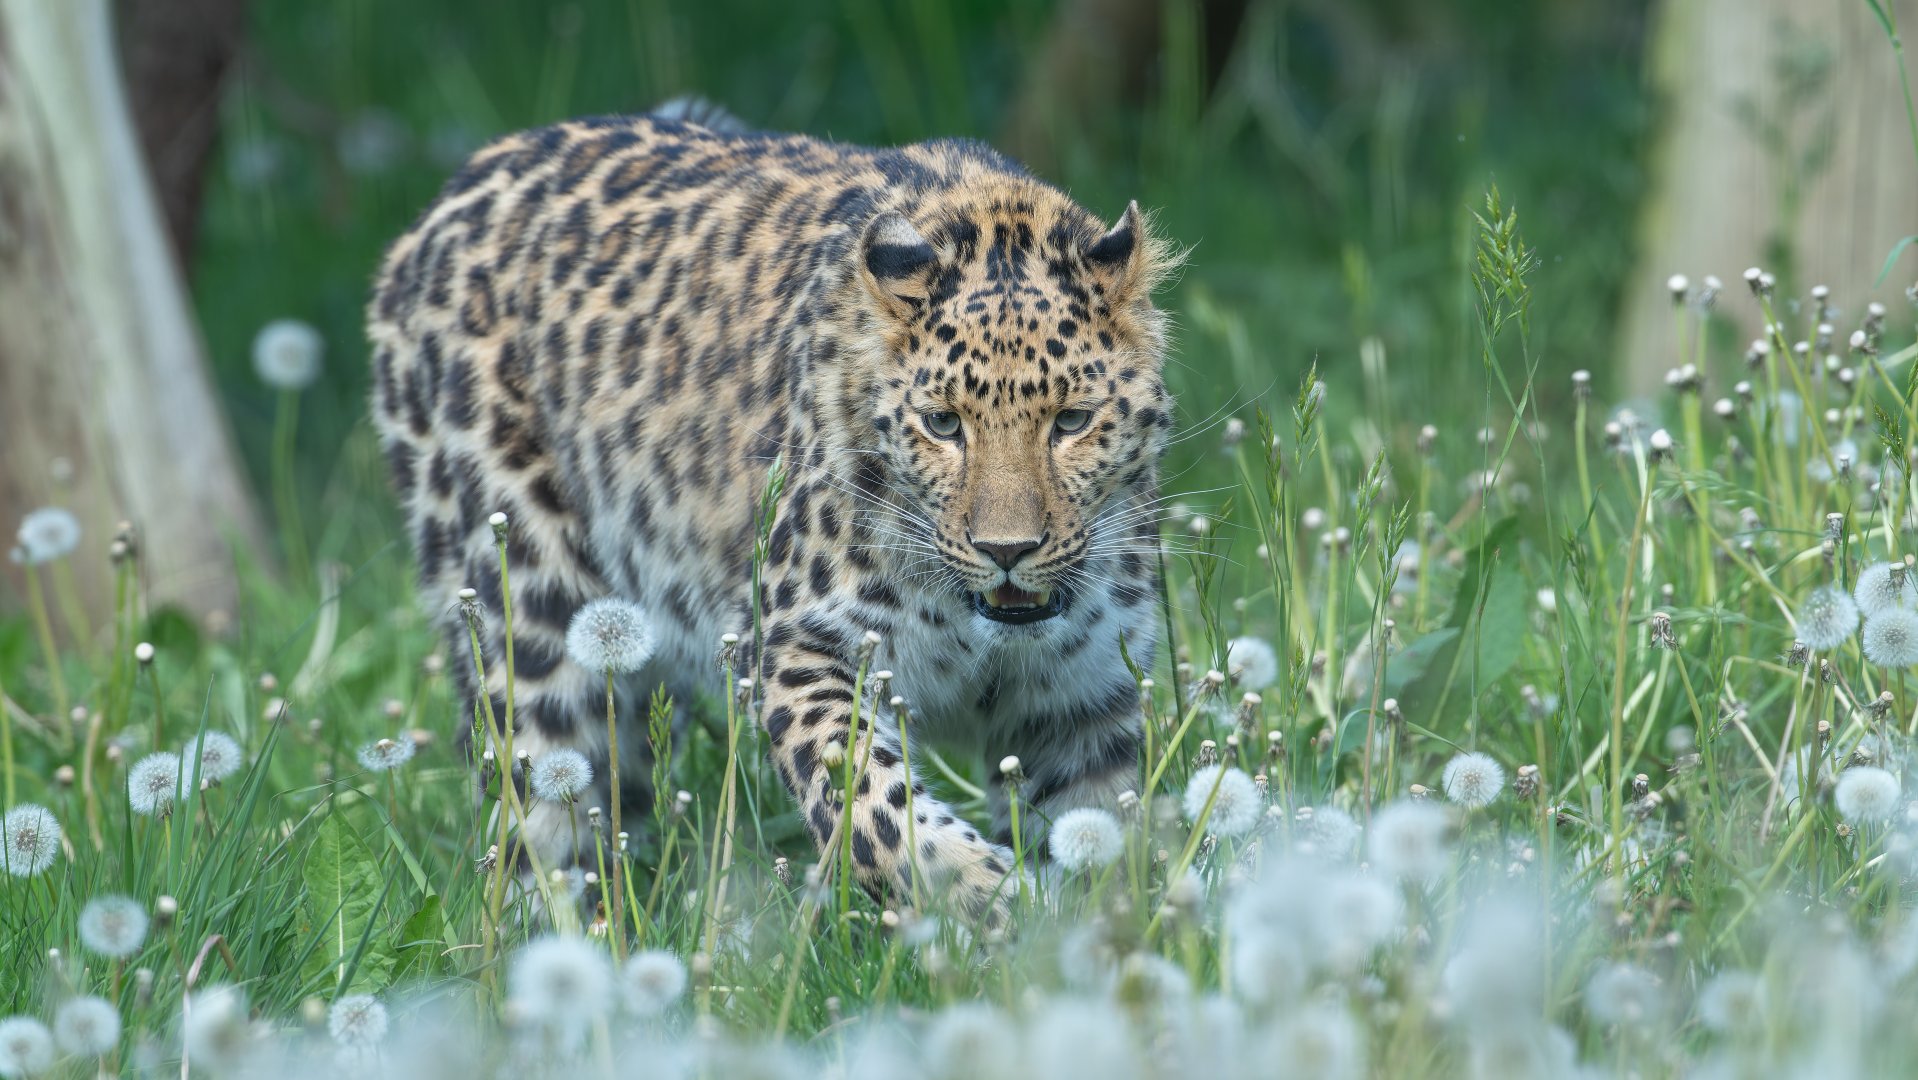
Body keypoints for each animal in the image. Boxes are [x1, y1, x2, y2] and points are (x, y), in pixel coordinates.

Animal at [367, 103, 1178, 919]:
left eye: (1072, 421)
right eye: (943, 425)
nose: (1007, 549)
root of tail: (453, 194)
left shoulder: (1082, 698)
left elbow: (1101, 828)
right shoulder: (802, 648)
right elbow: (873, 807)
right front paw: (988, 897)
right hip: (532, 615)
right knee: (536, 821)